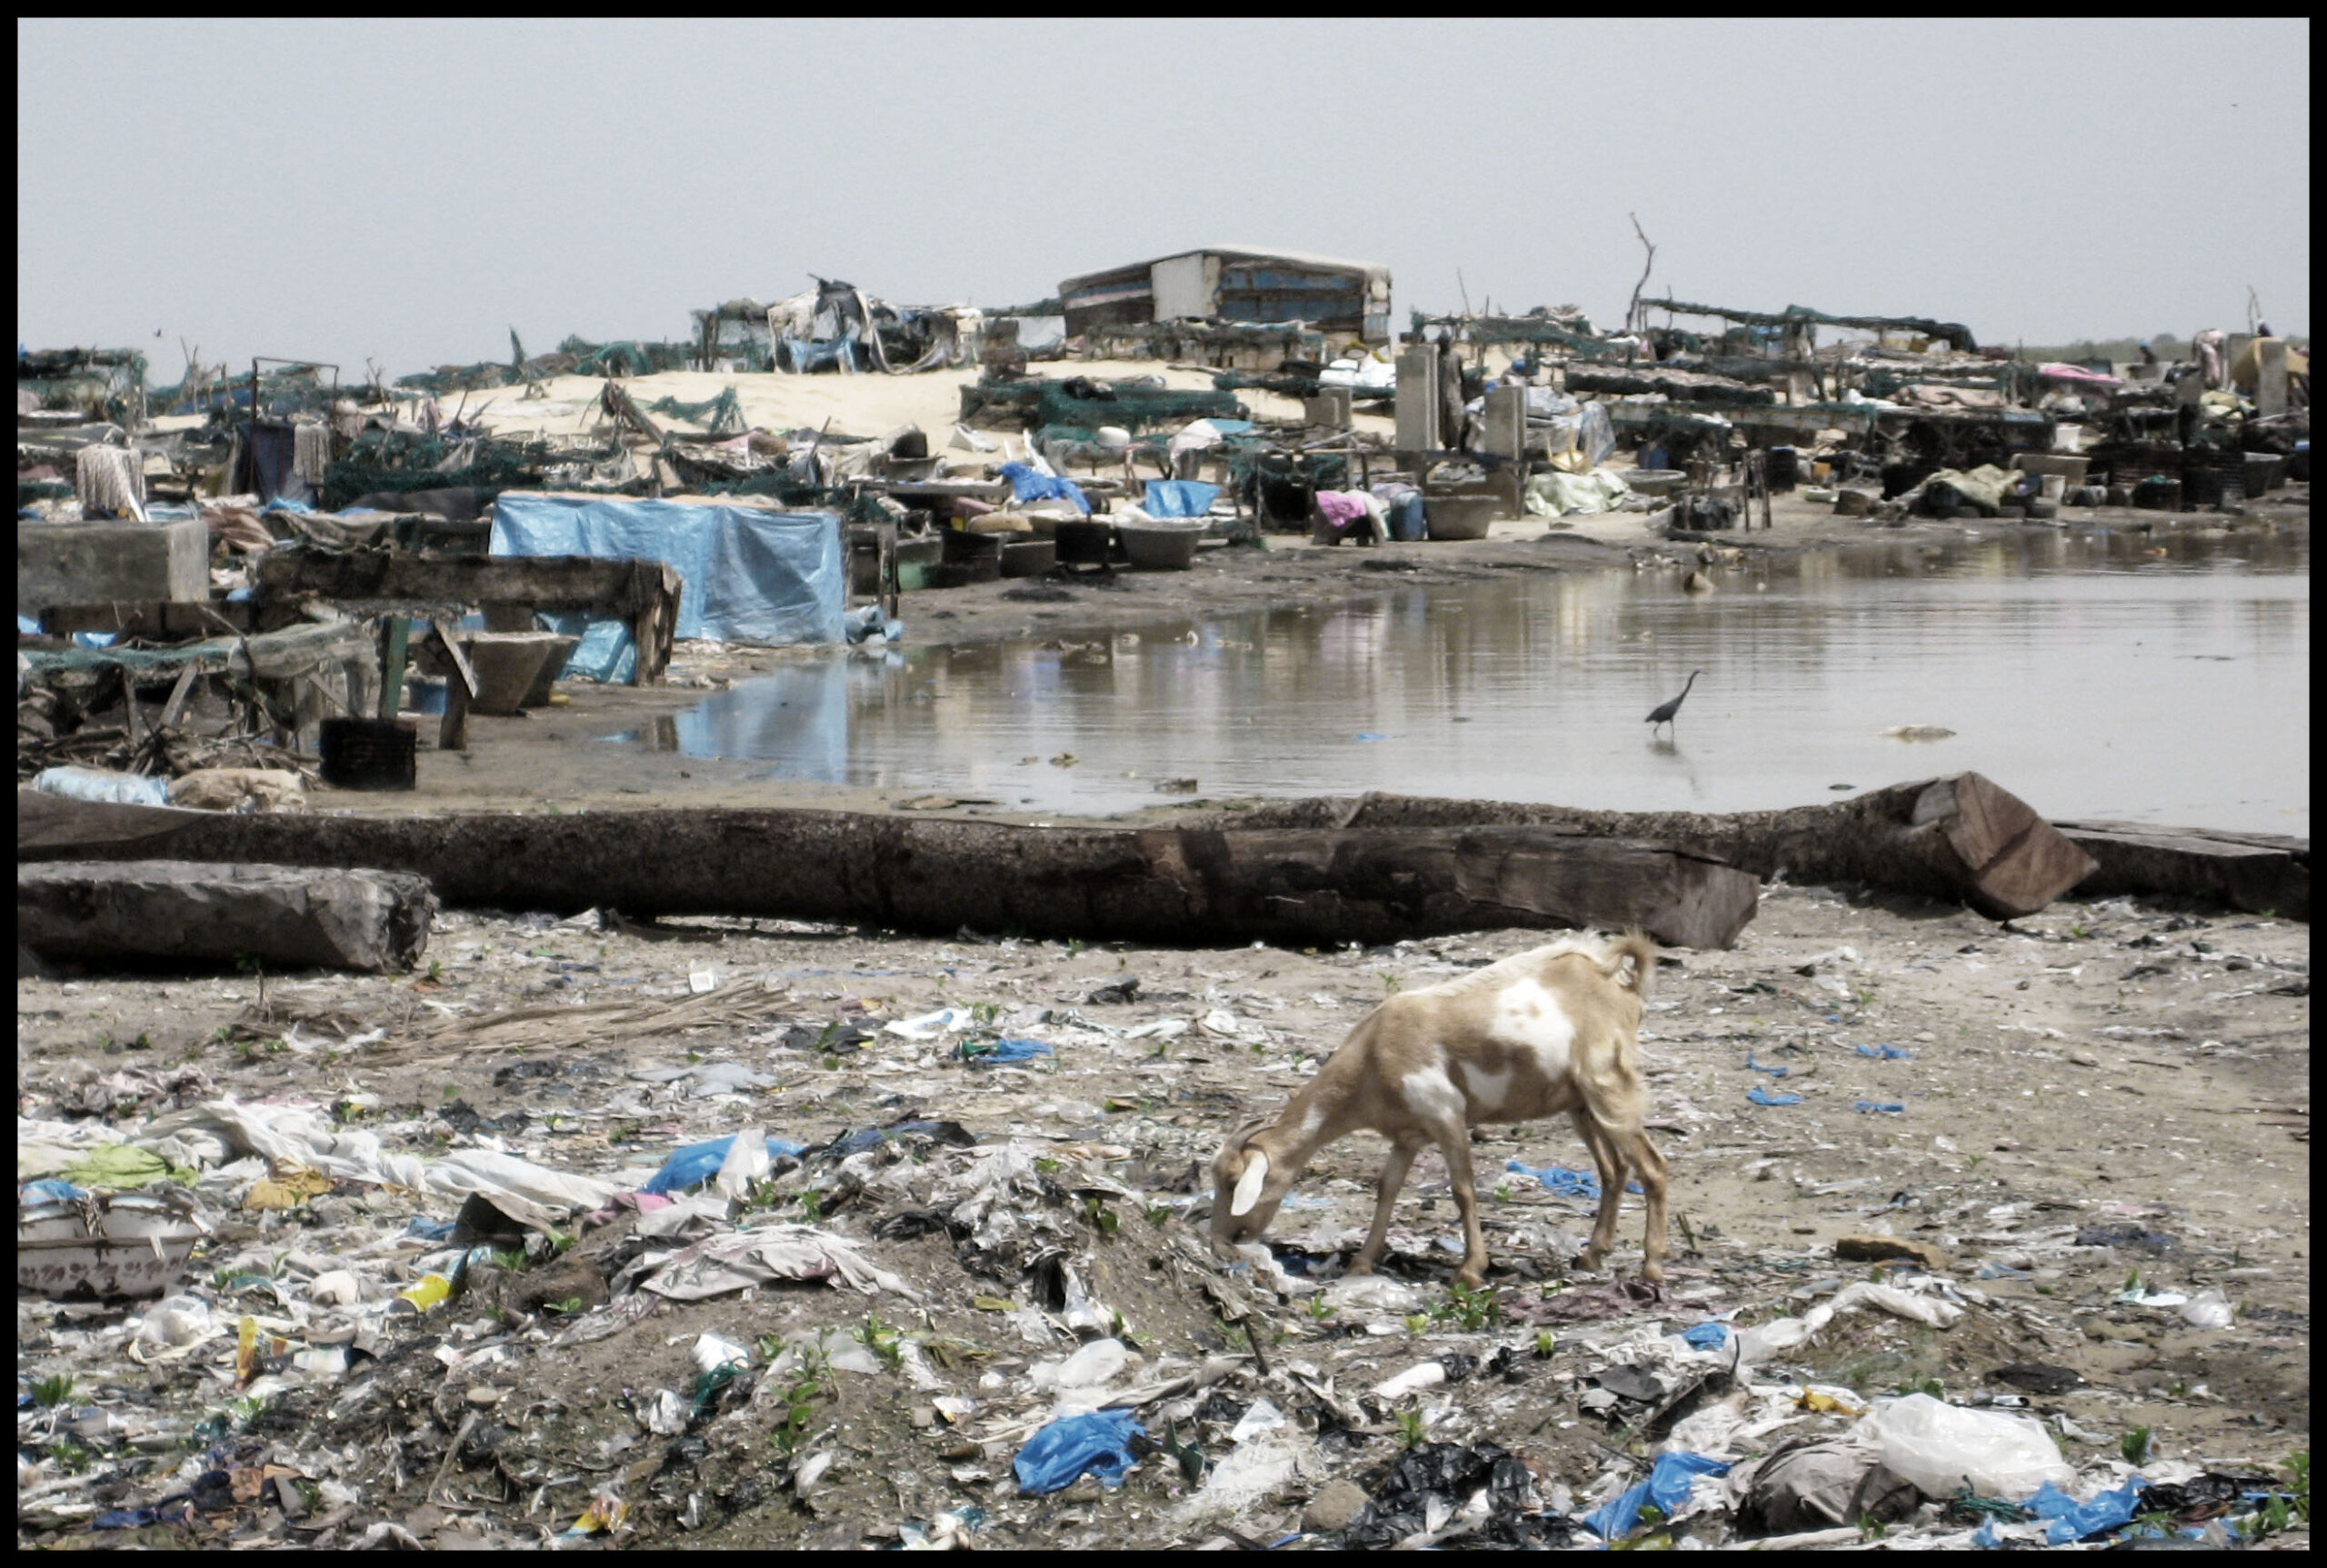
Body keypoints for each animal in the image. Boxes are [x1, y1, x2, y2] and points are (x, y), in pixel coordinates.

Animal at [1210, 930, 1665, 1283]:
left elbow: (1463, 1190)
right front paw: (1361, 1262)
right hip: (1581, 1103)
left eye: (1234, 1182)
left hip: (1608, 1083)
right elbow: (1387, 1188)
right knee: (1614, 1169)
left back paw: (1652, 1268)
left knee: (1653, 1166)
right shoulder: (1408, 1136)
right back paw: (1592, 1255)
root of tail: (1621, 985)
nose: (1220, 1241)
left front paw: (1470, 1269)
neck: (1374, 1054)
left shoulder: (1446, 1115)